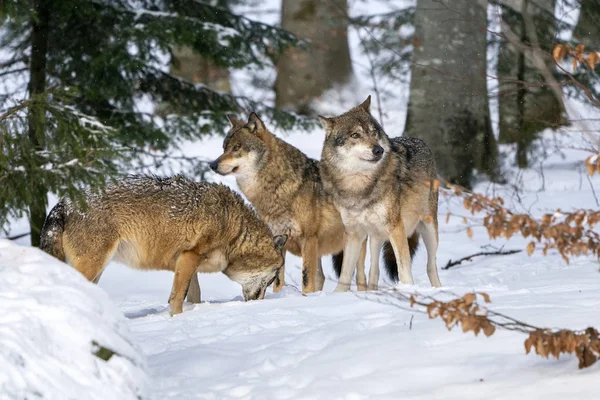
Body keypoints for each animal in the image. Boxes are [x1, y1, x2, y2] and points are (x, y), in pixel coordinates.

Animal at [318, 97, 440, 290]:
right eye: (355, 135)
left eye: (374, 133)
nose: (378, 150)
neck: (358, 186)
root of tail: (420, 141)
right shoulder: (354, 233)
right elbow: (345, 273)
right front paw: (338, 295)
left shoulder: (396, 227)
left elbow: (404, 269)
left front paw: (408, 289)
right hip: (375, 236)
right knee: (373, 271)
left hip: (429, 228)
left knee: (431, 266)